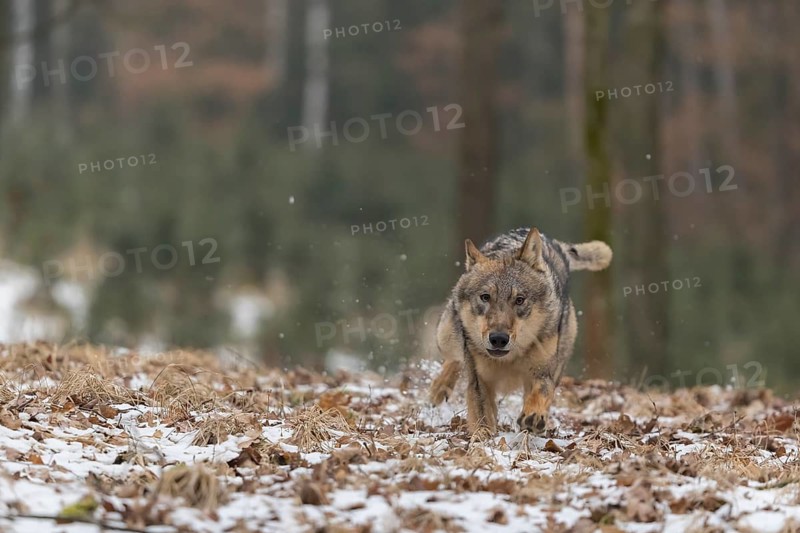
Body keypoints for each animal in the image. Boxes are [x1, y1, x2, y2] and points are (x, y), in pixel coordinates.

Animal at [429, 227, 612, 435]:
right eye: (485, 297)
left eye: (519, 300)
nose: (498, 339)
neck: (510, 359)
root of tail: (553, 242)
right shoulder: (480, 381)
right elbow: (482, 417)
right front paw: (483, 440)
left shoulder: (543, 372)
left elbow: (542, 391)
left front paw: (534, 416)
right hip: (444, 337)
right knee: (454, 359)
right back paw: (439, 388)